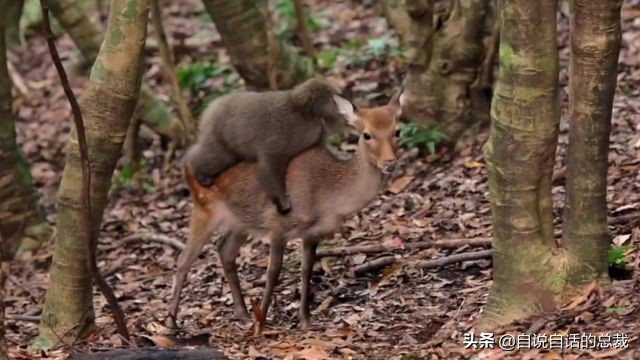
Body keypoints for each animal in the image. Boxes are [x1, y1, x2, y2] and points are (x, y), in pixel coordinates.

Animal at [184, 77, 356, 215]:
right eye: (334, 98)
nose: (347, 102)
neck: (307, 114)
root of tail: (211, 107)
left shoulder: (318, 130)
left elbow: (321, 149)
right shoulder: (283, 135)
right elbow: (269, 164)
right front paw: (281, 199)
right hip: (217, 133)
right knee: (220, 156)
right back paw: (196, 168)